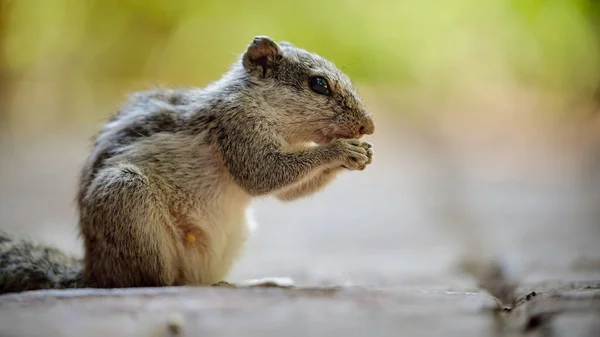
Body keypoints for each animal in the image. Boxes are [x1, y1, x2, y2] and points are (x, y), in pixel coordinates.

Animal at [0, 36, 372, 294]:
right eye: (319, 84)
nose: (368, 126)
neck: (261, 104)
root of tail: (95, 271)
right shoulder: (237, 126)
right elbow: (261, 175)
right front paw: (339, 150)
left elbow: (285, 192)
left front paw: (362, 153)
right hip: (126, 196)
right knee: (149, 281)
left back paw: (250, 283)